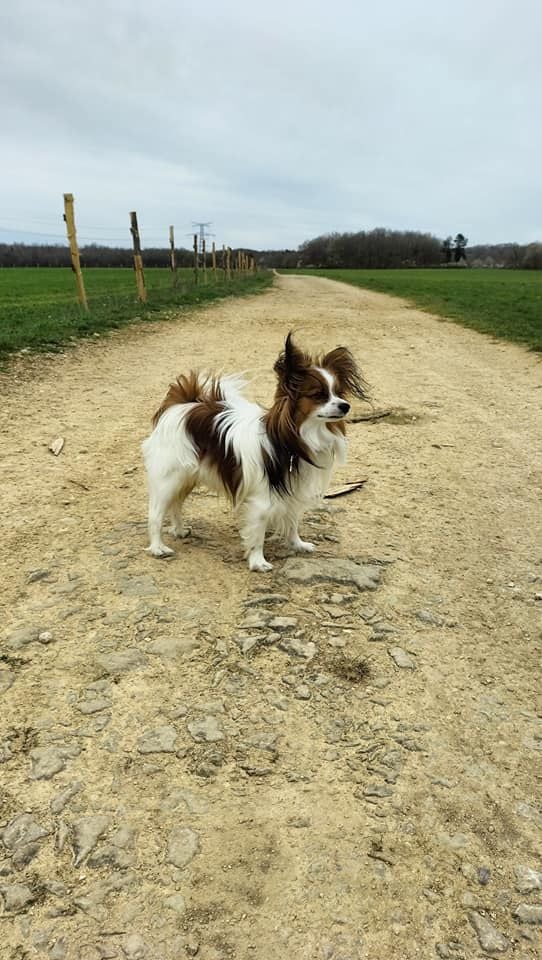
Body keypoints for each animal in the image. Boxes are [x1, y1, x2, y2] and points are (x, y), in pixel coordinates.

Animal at [142, 334, 368, 568]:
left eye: (338, 393)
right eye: (319, 395)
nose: (345, 406)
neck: (293, 441)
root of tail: (180, 406)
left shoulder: (293, 490)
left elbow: (293, 521)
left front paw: (297, 544)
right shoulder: (262, 501)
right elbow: (258, 533)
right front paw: (258, 562)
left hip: (187, 477)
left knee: (176, 504)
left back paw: (179, 530)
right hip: (169, 478)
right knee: (155, 514)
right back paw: (158, 547)